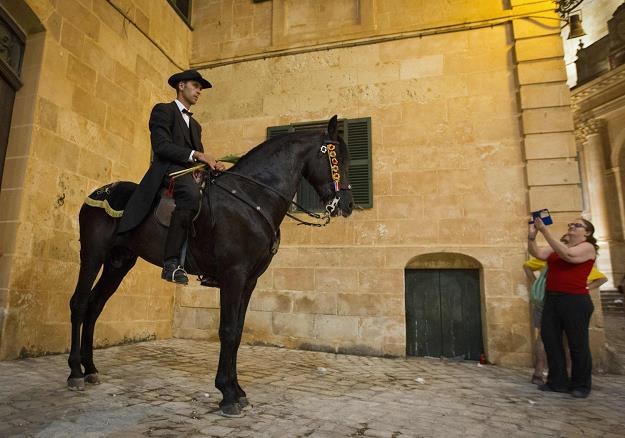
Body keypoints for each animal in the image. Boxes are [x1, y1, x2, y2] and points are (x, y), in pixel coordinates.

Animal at [68, 114, 354, 416]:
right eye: (336, 157)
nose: (347, 204)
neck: (252, 198)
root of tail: (101, 192)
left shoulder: (249, 281)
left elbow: (237, 332)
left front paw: (237, 390)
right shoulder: (233, 275)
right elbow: (227, 331)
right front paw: (227, 394)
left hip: (118, 263)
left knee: (95, 306)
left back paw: (90, 369)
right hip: (93, 255)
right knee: (79, 303)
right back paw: (75, 372)